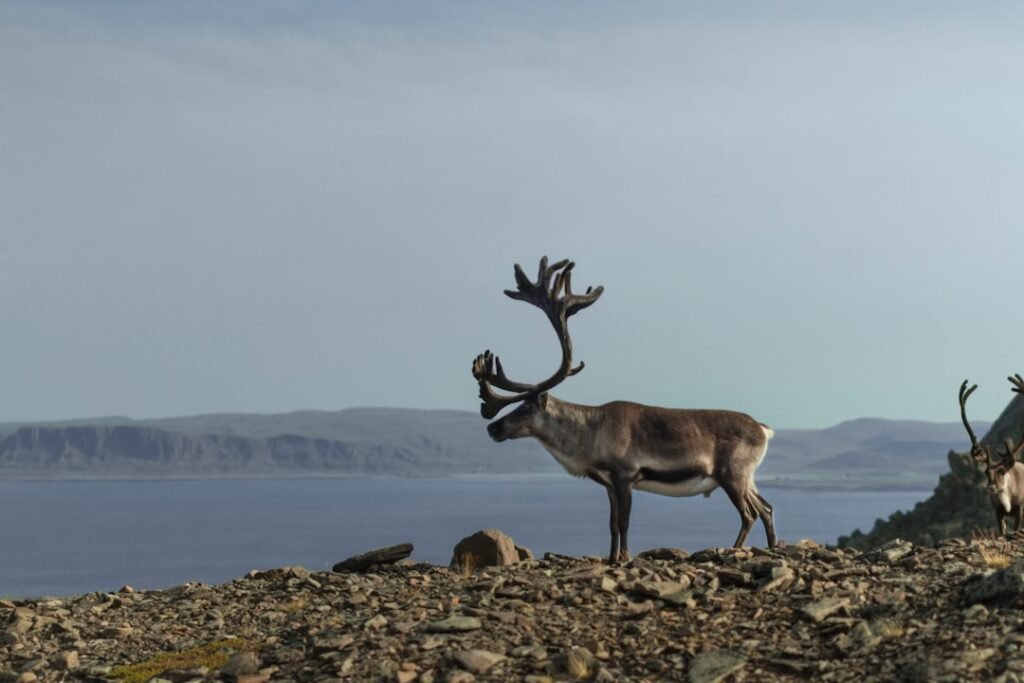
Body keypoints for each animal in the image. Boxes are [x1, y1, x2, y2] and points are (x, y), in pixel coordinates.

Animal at [472, 256, 776, 563]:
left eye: (524, 409)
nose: (492, 427)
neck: (588, 436)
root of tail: (764, 429)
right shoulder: (608, 484)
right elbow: (611, 524)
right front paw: (611, 557)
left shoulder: (625, 475)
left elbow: (624, 522)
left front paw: (625, 557)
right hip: (747, 477)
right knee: (767, 507)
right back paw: (773, 546)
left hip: (733, 474)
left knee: (749, 513)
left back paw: (735, 549)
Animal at [958, 376, 1024, 535]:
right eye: (986, 472)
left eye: (1002, 471)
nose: (991, 488)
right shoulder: (997, 511)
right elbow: (1001, 532)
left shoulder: (1020, 509)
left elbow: (1016, 528)